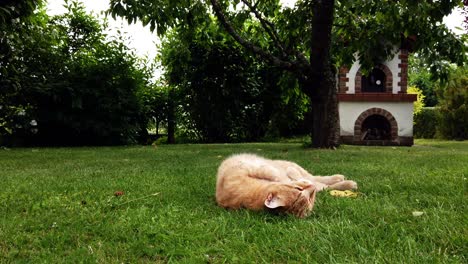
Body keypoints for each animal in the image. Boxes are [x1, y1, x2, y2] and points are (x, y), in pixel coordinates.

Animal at [217, 154, 358, 218]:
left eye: (298, 189)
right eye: (310, 198)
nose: (310, 188)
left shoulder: (257, 168)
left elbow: (276, 175)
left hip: (292, 166)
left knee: (316, 178)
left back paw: (340, 178)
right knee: (320, 183)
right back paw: (347, 183)